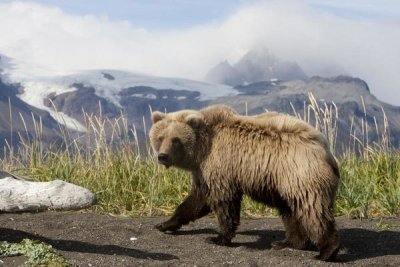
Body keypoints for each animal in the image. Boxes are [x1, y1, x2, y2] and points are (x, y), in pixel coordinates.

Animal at [150, 105, 340, 262]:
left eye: (176, 139)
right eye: (160, 137)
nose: (162, 156)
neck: (201, 150)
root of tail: (325, 149)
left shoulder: (221, 165)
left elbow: (223, 201)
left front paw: (218, 238)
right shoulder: (203, 171)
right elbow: (195, 202)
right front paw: (164, 224)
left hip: (299, 174)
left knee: (313, 210)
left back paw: (327, 251)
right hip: (284, 182)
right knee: (290, 210)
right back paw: (287, 242)